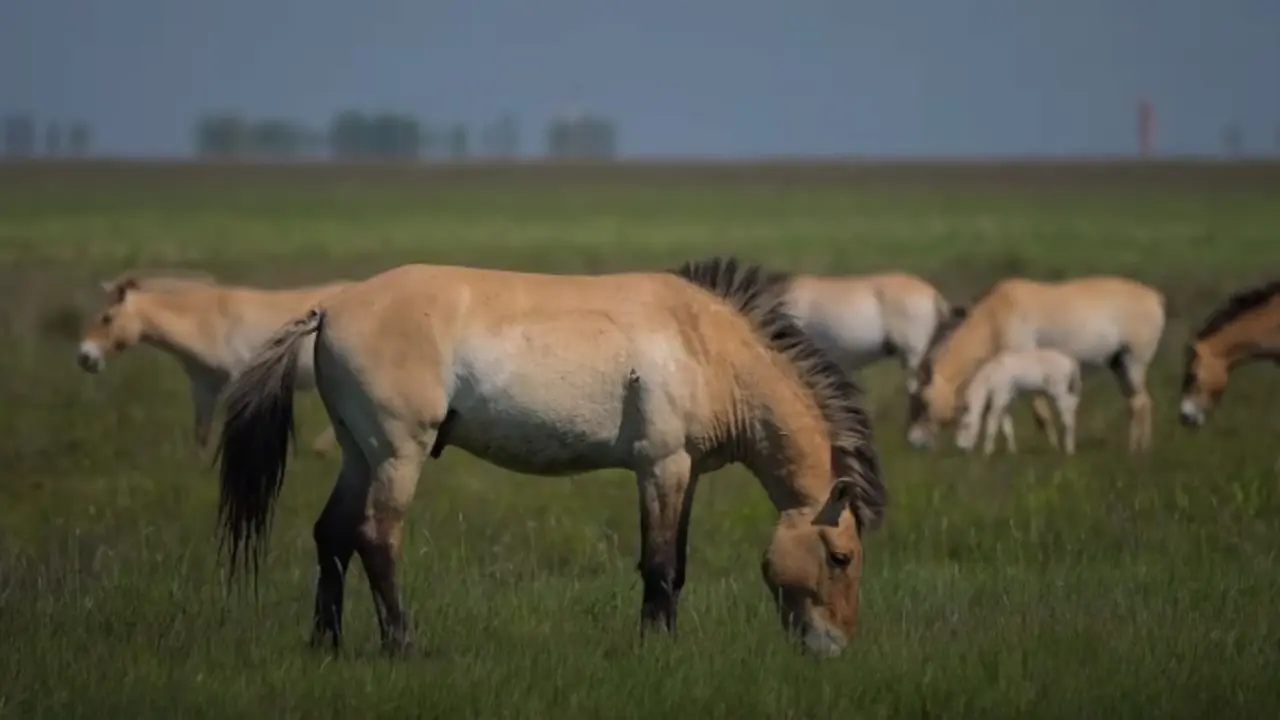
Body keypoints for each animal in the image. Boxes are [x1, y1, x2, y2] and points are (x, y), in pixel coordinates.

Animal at [75, 269, 351, 455]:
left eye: (107, 318)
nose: (84, 357)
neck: (207, 322)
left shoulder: (238, 383)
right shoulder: (203, 387)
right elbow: (201, 435)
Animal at [212, 257, 886, 658]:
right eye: (842, 556)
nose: (836, 648)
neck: (706, 346)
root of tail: (330, 309)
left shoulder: (687, 473)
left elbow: (678, 567)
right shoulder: (660, 467)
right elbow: (659, 565)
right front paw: (654, 649)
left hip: (360, 453)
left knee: (331, 536)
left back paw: (325, 644)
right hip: (398, 455)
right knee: (376, 539)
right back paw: (401, 645)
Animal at [954, 348, 1083, 456]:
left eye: (963, 426)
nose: (961, 449)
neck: (991, 374)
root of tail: (1071, 362)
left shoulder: (1000, 396)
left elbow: (992, 420)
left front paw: (987, 450)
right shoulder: (1006, 400)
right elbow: (1007, 425)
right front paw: (1012, 451)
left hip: (1059, 390)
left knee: (1068, 407)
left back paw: (1069, 447)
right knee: (1073, 405)